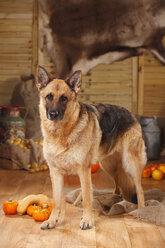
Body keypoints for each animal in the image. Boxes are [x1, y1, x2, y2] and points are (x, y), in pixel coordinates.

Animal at [35, 66, 146, 231]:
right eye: (49, 96)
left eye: (64, 98)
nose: (53, 114)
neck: (61, 134)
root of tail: (131, 114)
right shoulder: (55, 172)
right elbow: (57, 201)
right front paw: (53, 220)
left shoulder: (84, 170)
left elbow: (87, 198)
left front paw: (87, 220)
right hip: (109, 166)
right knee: (118, 184)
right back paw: (112, 199)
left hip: (131, 164)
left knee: (139, 189)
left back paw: (141, 210)